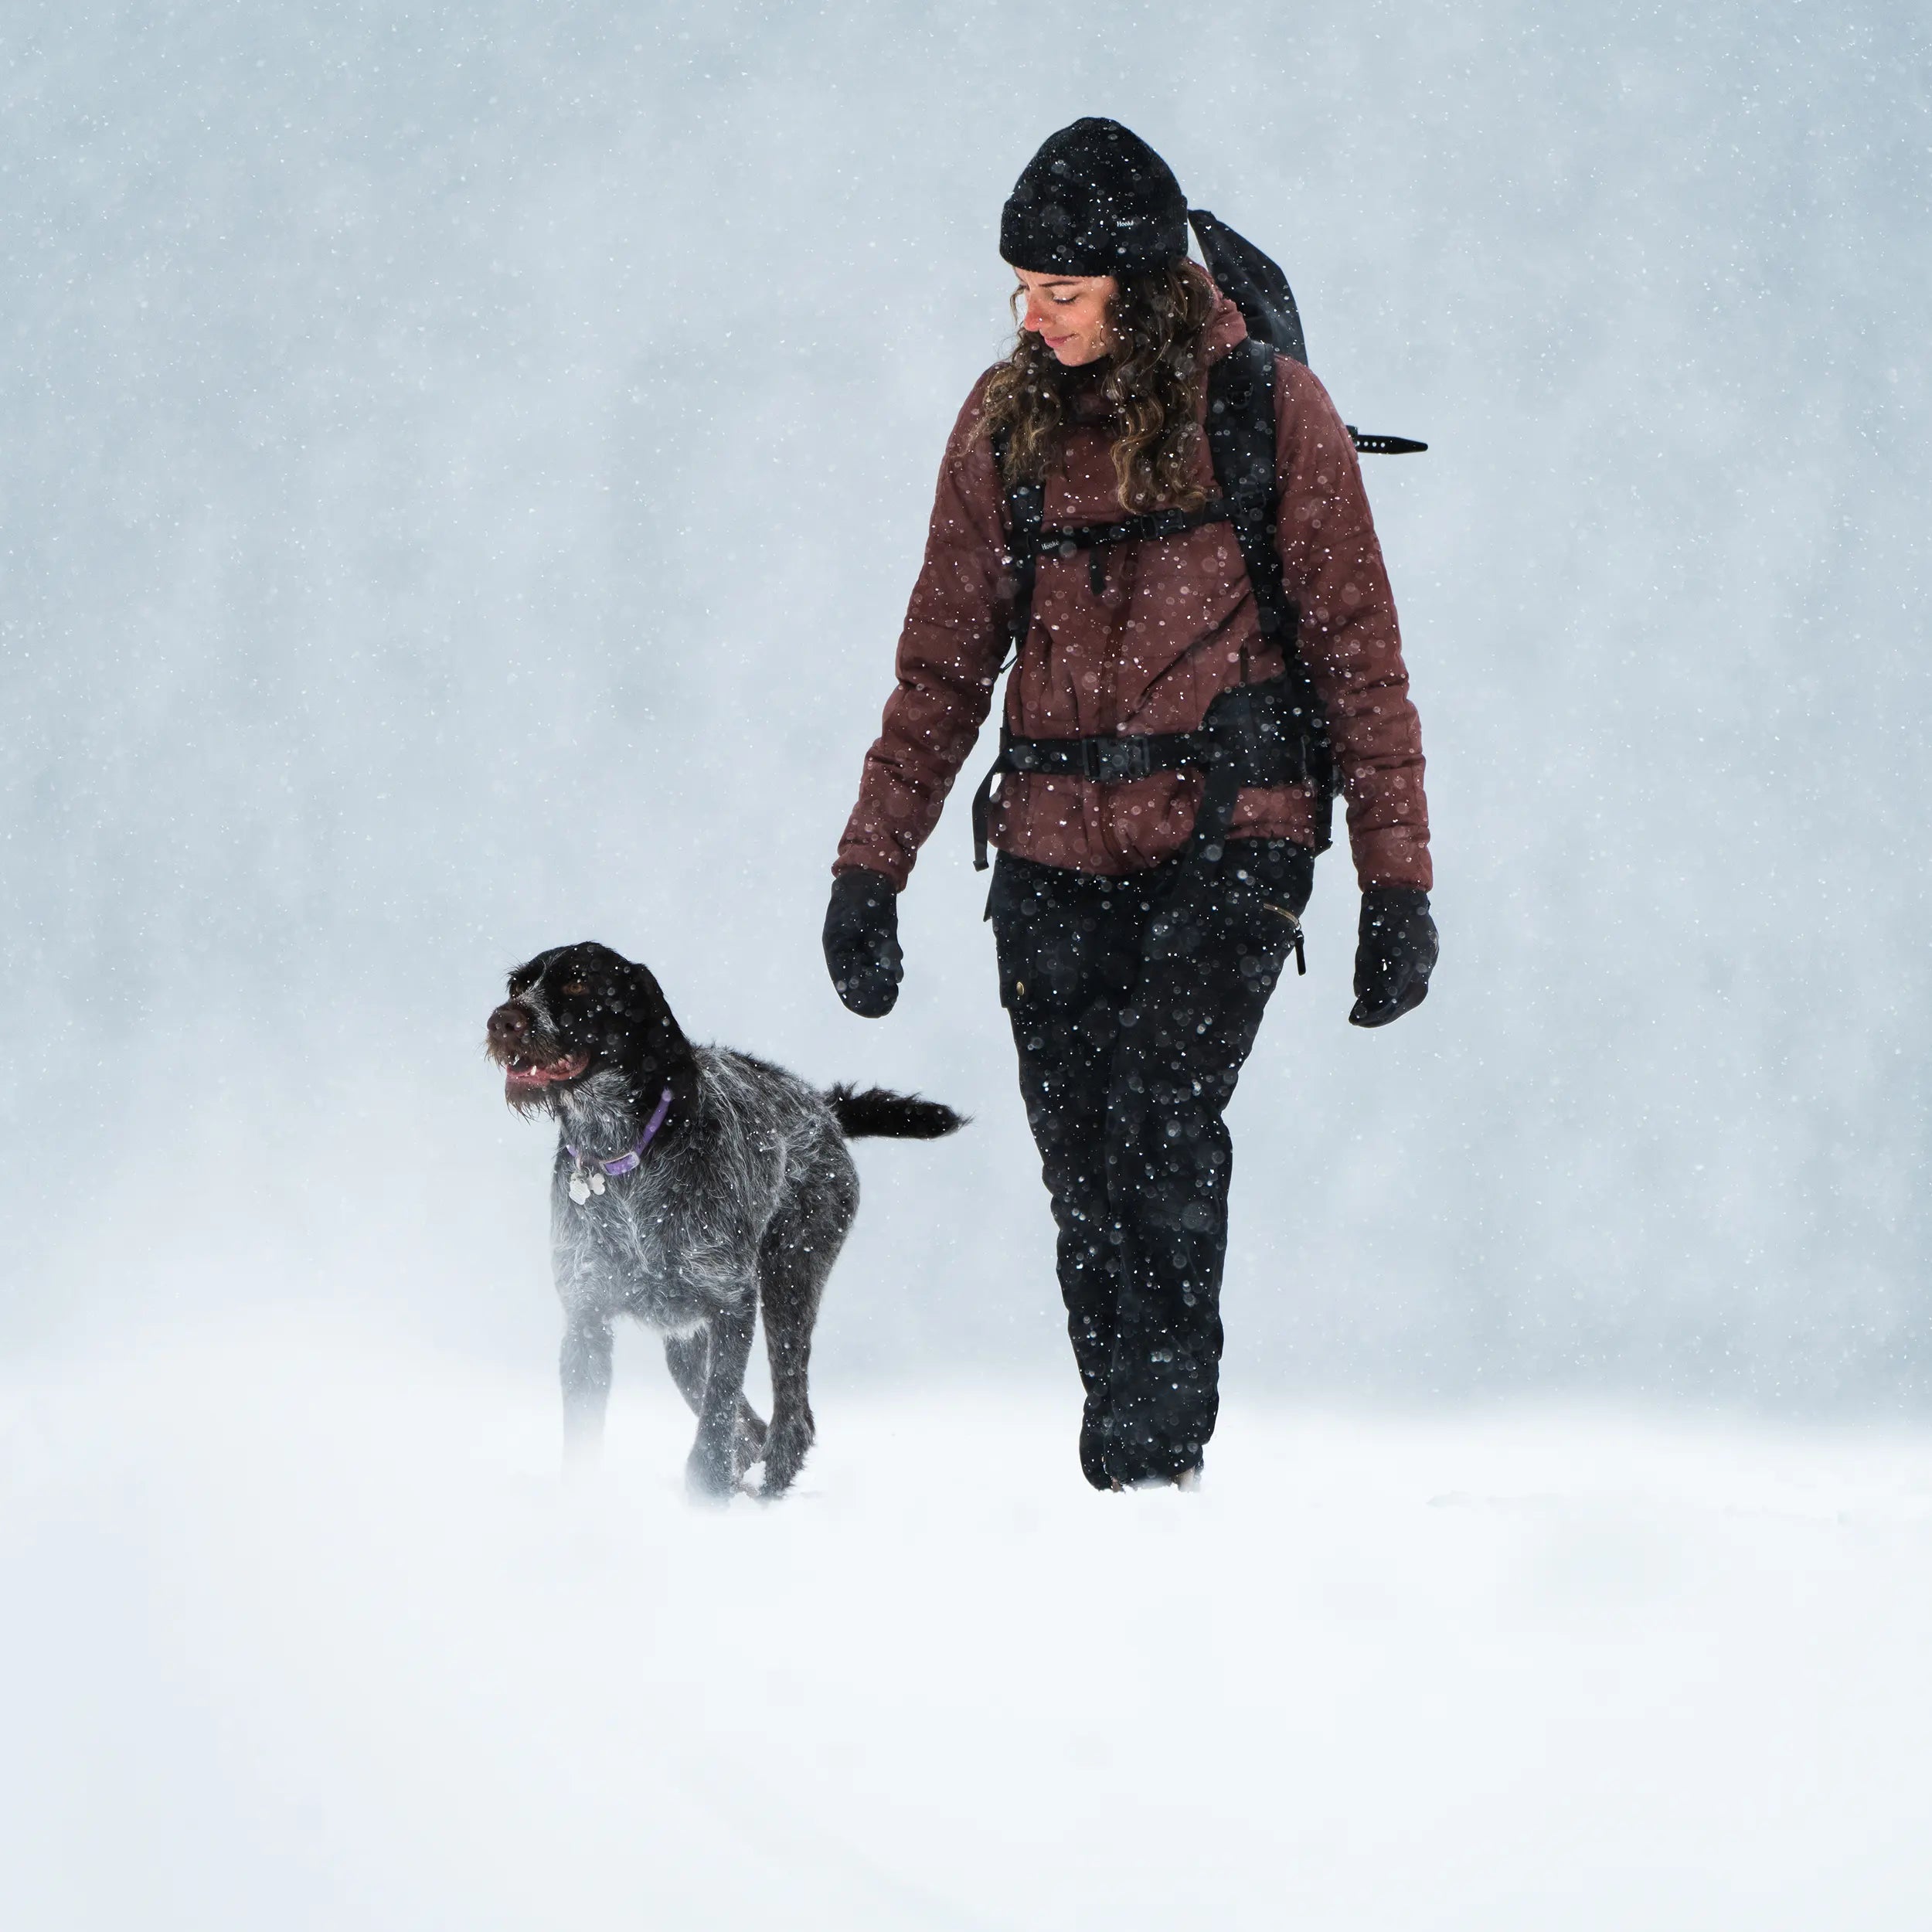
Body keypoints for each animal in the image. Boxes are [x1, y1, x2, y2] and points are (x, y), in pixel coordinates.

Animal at [487, 943, 962, 1499]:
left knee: (791, 1420)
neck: (622, 1155)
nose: (503, 1021)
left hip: (789, 1280)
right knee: (753, 1427)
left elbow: (718, 1413)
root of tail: (823, 1108)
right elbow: (587, 1435)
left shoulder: (731, 1303)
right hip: (688, 1343)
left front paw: (707, 1491)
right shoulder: (587, 1320)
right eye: (518, 986)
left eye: (580, 982)